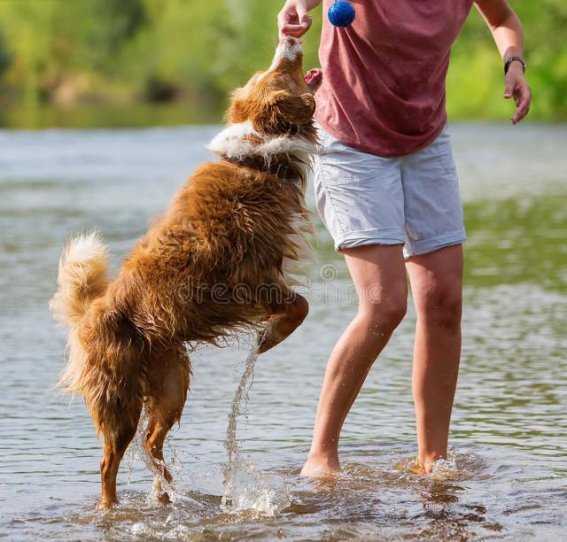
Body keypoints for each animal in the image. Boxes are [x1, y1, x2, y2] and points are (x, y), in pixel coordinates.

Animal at [52, 39, 324, 510]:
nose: (289, 38)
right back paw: (113, 506)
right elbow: (300, 306)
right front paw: (269, 339)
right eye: (278, 69)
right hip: (120, 401)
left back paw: (166, 494)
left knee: (152, 445)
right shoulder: (250, 276)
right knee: (109, 463)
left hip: (171, 382)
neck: (256, 159)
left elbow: (298, 305)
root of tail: (91, 312)